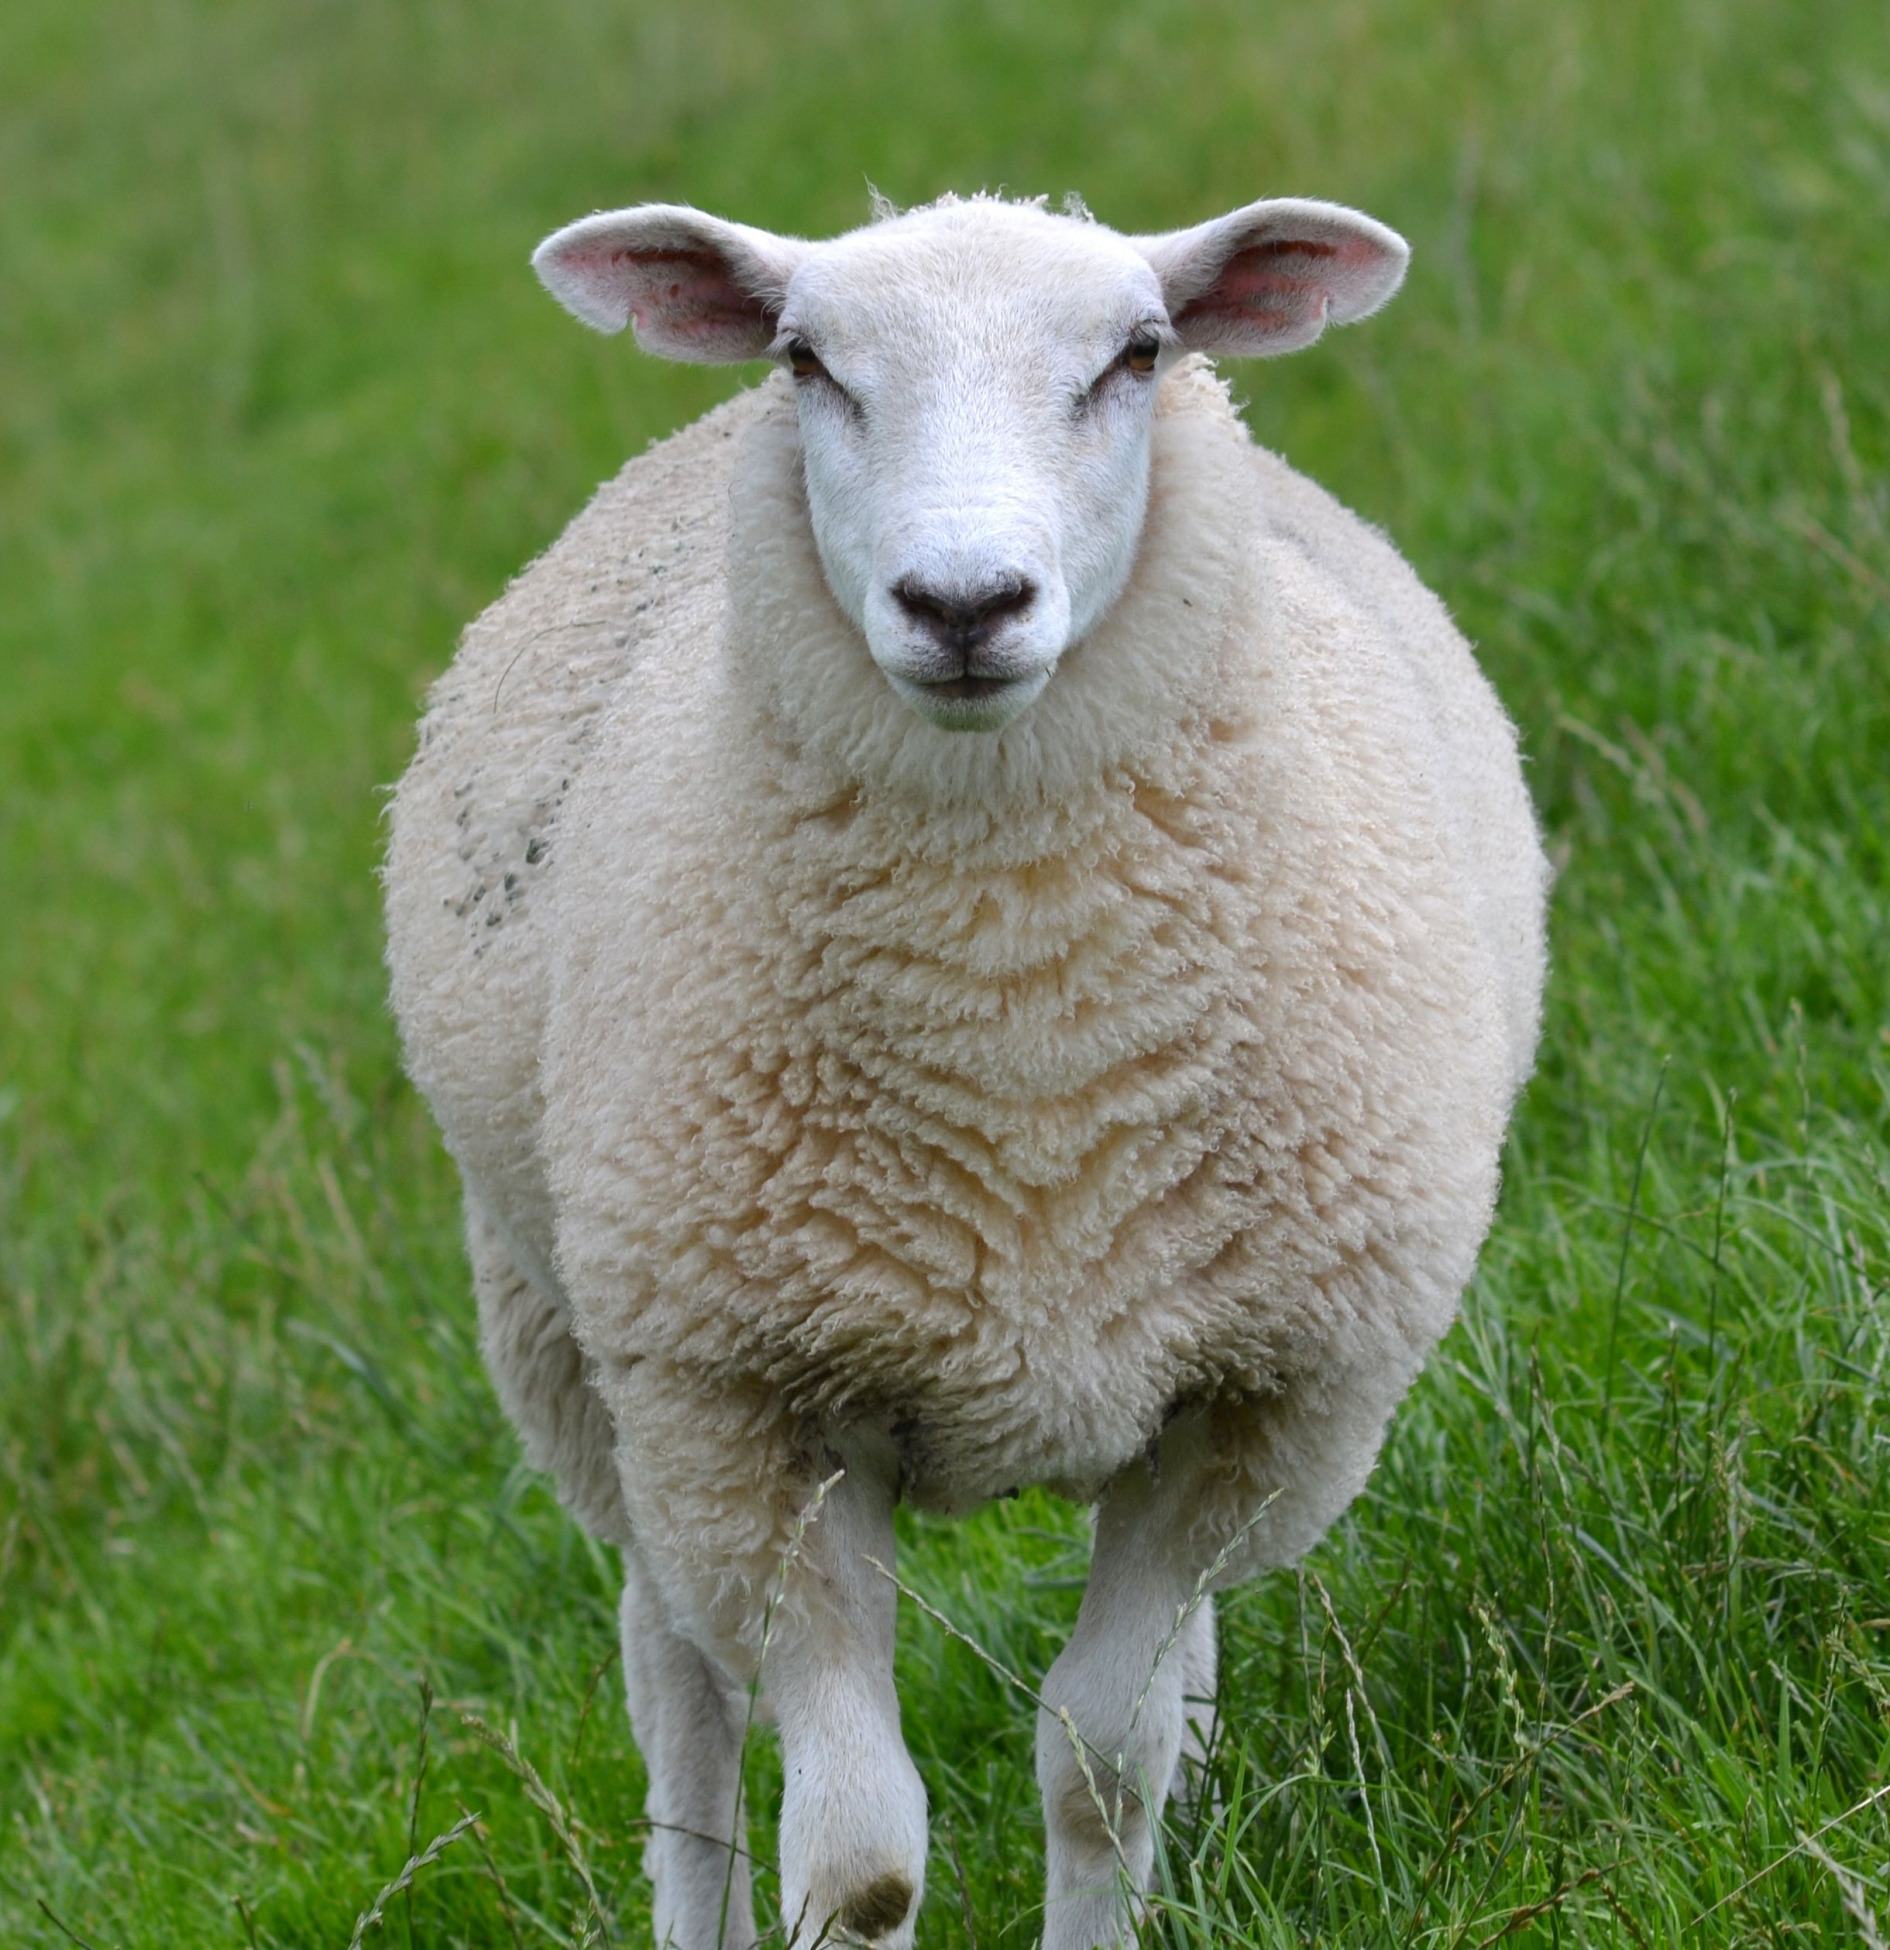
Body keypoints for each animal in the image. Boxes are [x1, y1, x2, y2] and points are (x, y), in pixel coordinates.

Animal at [384, 189, 1549, 1950]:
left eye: (1138, 353)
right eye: (808, 362)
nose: (960, 603)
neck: (1023, 1029)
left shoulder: (1254, 1399)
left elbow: (1103, 1760)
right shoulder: (748, 1408)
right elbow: (858, 1851)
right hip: (574, 1341)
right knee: (679, 1684)